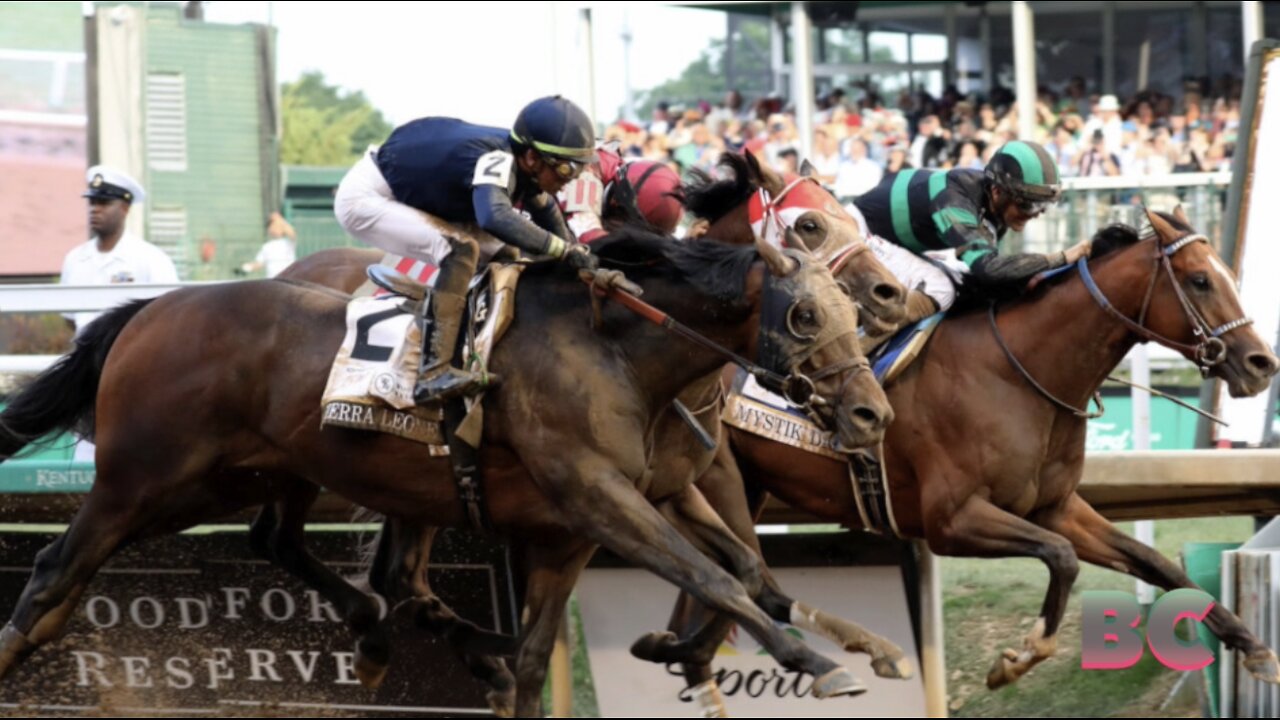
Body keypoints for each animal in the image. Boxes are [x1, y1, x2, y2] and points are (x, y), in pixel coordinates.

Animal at [0, 228, 890, 712]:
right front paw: (818, 665)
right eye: (805, 314)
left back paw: (379, 634)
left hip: (245, 478)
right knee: (54, 568)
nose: (871, 413)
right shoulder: (598, 498)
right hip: (144, 480)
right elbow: (718, 577)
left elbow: (738, 572)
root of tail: (150, 308)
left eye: (854, 311)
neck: (616, 353)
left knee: (277, 544)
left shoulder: (614, 511)